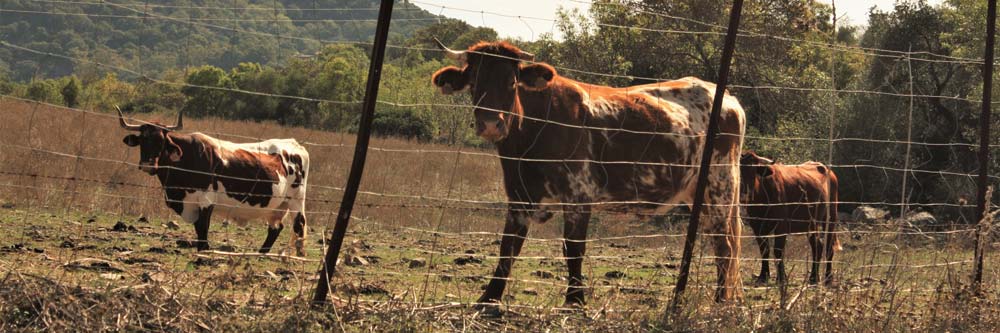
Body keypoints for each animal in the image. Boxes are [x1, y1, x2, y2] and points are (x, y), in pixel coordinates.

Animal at [115, 110, 308, 255]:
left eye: (162, 142)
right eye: (142, 140)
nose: (148, 164)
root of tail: (294, 143)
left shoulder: (206, 199)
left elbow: (202, 227)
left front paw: (204, 250)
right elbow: (198, 227)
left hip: (296, 199)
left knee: (299, 225)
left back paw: (298, 256)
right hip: (277, 205)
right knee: (276, 228)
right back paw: (261, 253)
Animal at [432, 39, 752, 304]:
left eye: (512, 82)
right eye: (474, 81)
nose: (490, 123)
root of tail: (726, 97)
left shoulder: (578, 194)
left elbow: (573, 249)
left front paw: (575, 300)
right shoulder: (519, 195)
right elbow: (508, 246)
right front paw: (489, 298)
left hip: (720, 185)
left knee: (724, 244)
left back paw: (720, 301)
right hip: (700, 193)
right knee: (719, 241)